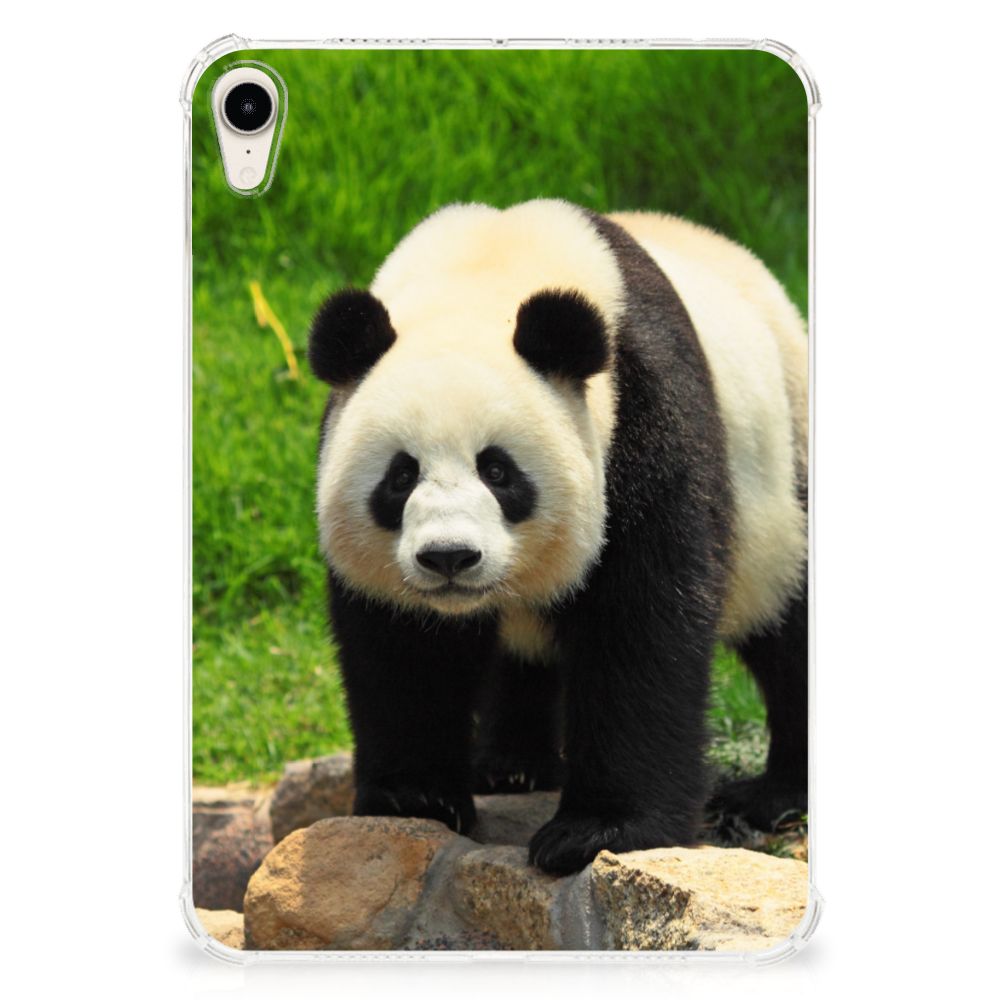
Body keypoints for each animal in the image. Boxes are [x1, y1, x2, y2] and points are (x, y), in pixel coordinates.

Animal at [307, 199, 808, 876]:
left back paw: (771, 796)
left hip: (784, 469)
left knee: (790, 620)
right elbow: (403, 645)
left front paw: (597, 831)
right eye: (401, 475)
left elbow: (640, 622)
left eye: (498, 471)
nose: (449, 558)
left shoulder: (643, 416)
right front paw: (415, 798)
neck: (483, 274)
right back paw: (511, 766)